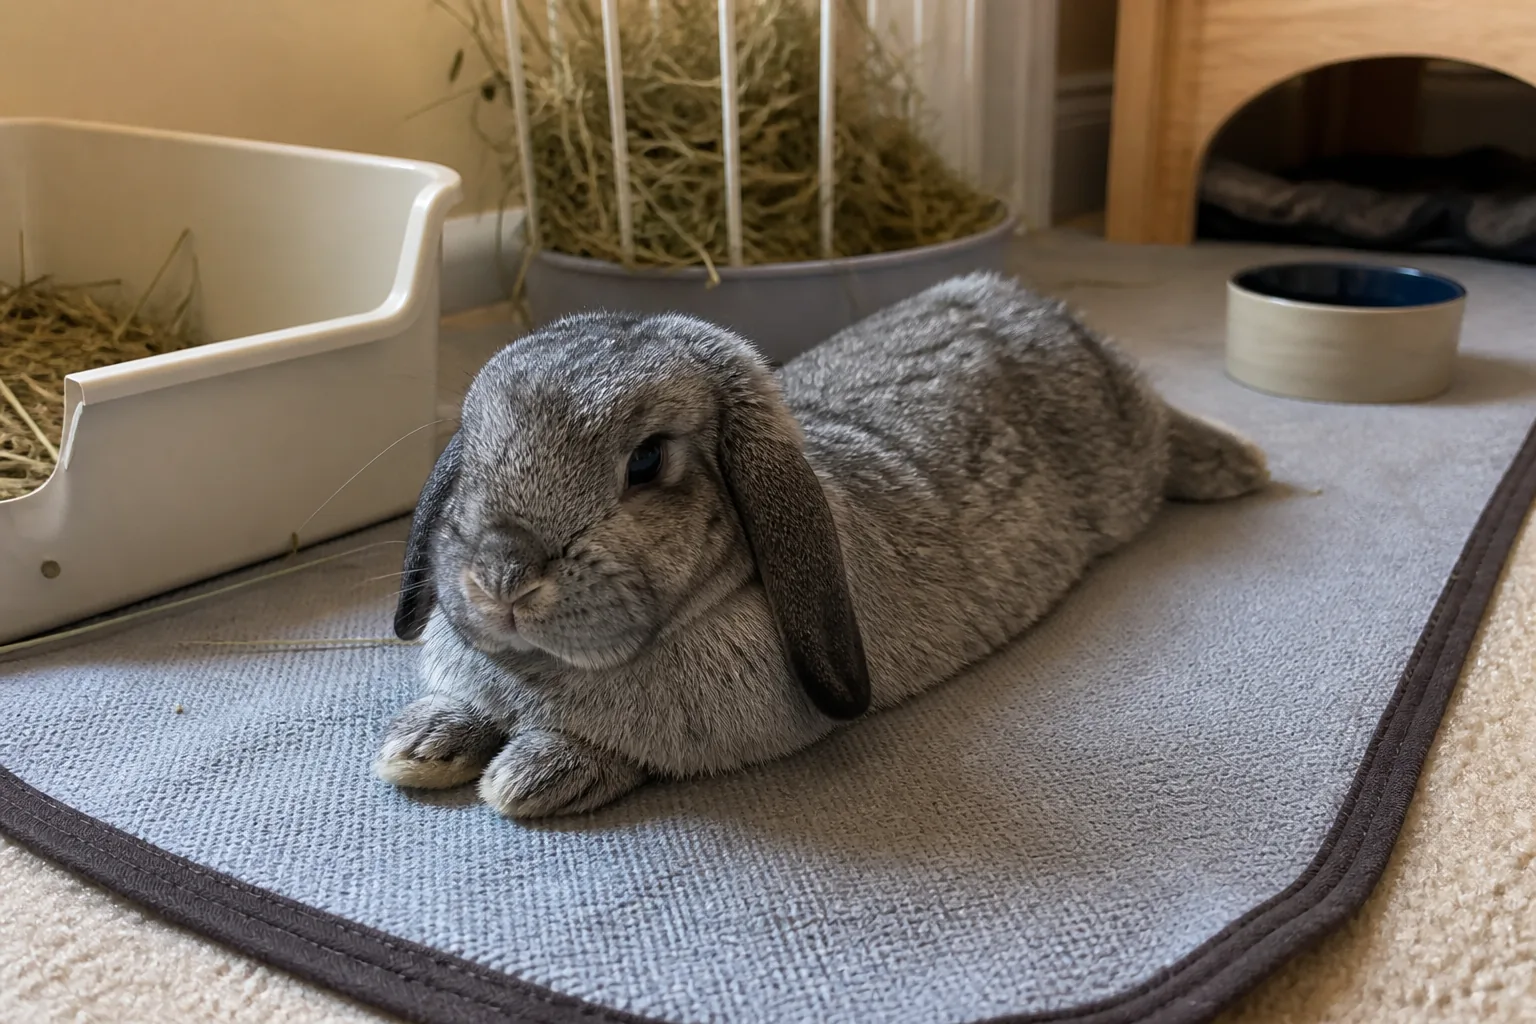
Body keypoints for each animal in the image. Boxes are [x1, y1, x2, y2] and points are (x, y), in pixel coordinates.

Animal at [374, 271, 1269, 819]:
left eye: (647, 461)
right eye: (473, 444)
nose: (502, 579)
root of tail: (1024, 302)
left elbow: (614, 750)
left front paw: (527, 778)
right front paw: (418, 747)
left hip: (1126, 459)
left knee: (1163, 430)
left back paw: (1238, 464)